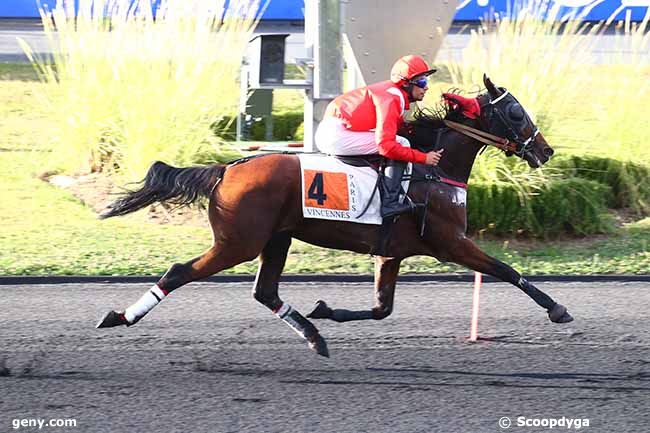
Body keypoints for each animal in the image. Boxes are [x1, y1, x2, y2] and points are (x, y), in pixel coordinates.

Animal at [96, 75, 572, 358]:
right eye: (515, 111)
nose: (545, 150)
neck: (434, 171)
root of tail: (226, 169)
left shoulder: (391, 253)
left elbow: (381, 309)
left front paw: (327, 310)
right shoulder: (451, 242)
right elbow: (506, 270)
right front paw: (558, 309)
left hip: (277, 238)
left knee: (265, 292)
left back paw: (314, 335)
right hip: (239, 242)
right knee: (179, 271)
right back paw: (121, 316)